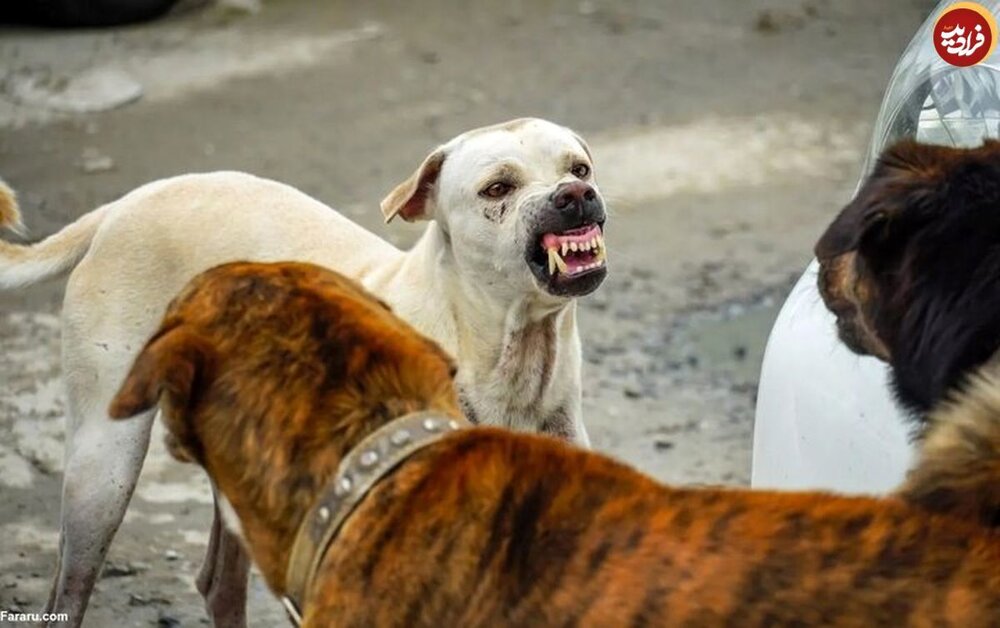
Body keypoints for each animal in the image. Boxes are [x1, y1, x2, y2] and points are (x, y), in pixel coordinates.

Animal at [0, 119, 608, 628]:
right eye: (497, 189)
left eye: (579, 168)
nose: (575, 195)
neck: (509, 354)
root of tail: (124, 205)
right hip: (103, 470)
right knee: (68, 594)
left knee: (220, 585)